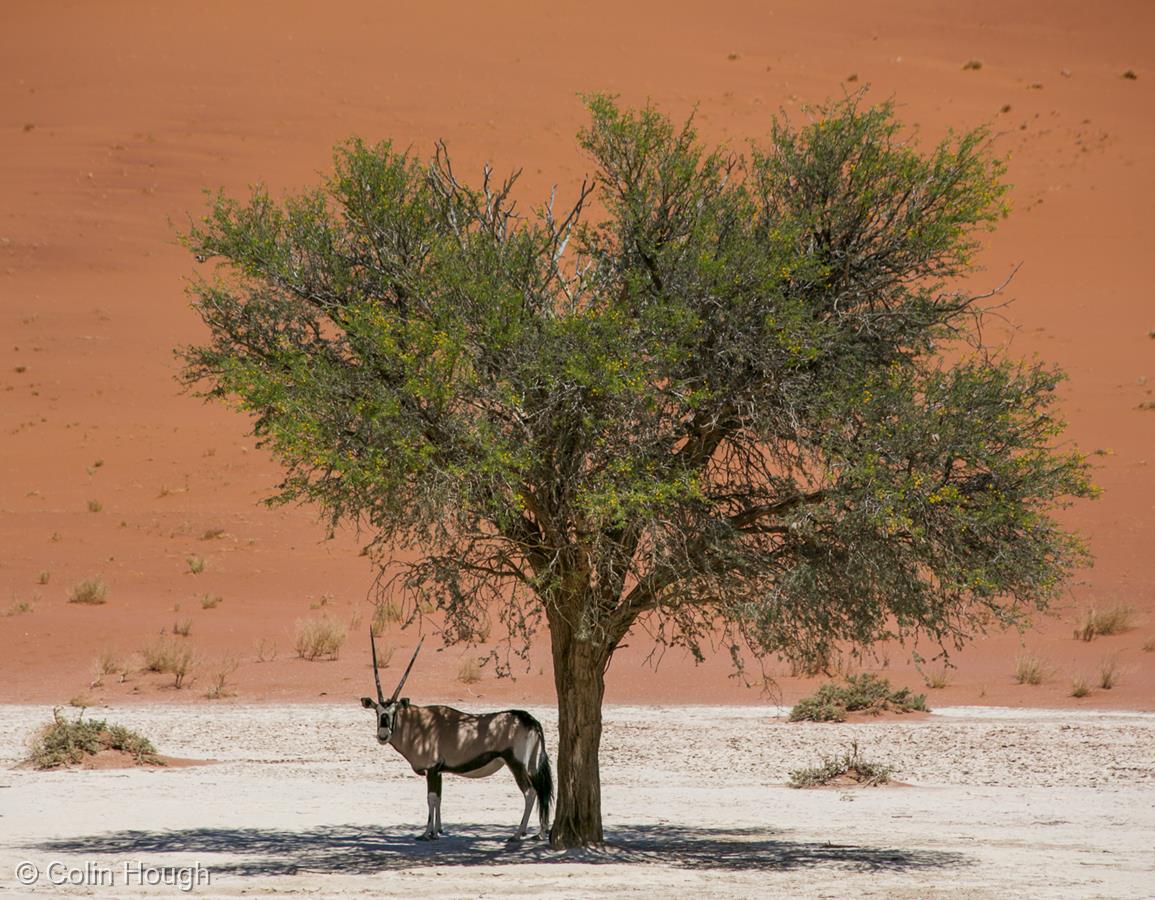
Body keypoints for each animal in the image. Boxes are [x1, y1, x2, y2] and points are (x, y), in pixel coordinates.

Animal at [362, 637, 556, 841]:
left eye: (394, 711)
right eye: (377, 711)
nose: (383, 735)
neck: (418, 723)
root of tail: (532, 721)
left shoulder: (431, 769)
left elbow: (431, 798)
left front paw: (427, 833)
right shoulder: (439, 771)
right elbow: (439, 798)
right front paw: (438, 830)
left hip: (516, 764)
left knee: (530, 792)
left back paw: (518, 833)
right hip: (532, 765)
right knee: (542, 791)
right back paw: (540, 833)